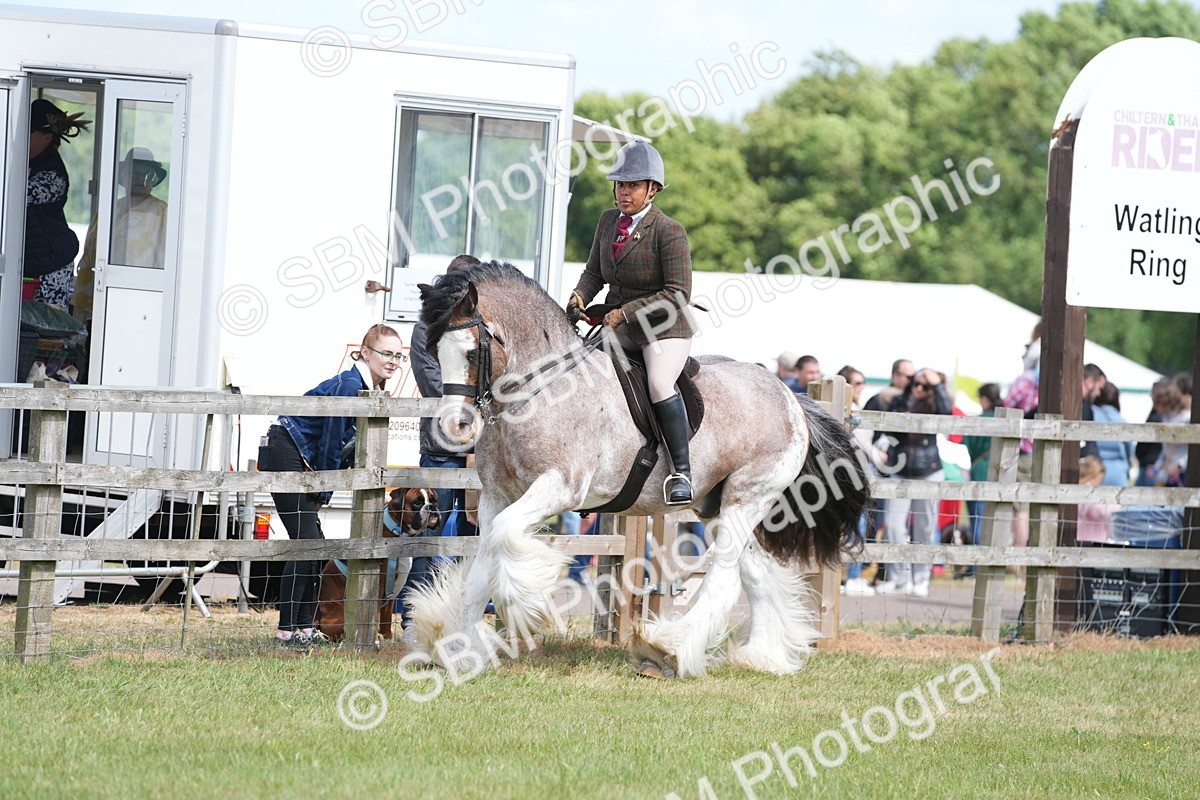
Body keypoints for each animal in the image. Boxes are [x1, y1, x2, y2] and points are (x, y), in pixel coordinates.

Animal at [409, 260, 870, 678]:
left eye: (472, 352)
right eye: (433, 351)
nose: (453, 426)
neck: (541, 391)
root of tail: (790, 397)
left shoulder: (559, 487)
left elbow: (505, 537)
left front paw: (523, 606)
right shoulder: (495, 498)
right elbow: (480, 567)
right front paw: (459, 649)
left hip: (749, 496)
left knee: (724, 578)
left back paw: (669, 651)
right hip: (717, 506)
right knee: (754, 573)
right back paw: (763, 655)